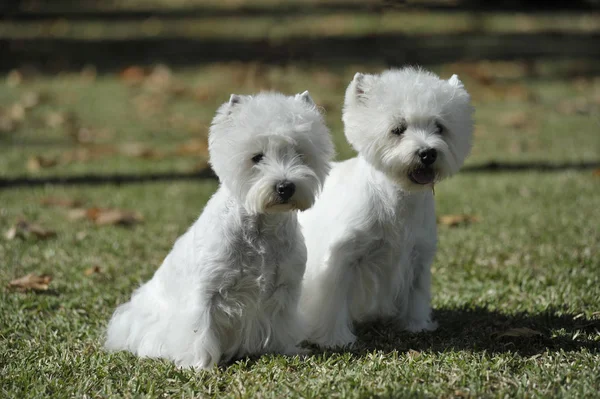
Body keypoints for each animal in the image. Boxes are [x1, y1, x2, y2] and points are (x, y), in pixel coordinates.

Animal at [106, 90, 336, 368]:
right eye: (257, 157)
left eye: (300, 154)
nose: (285, 187)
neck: (262, 229)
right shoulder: (208, 292)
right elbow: (199, 331)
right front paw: (198, 365)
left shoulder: (285, 290)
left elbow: (283, 324)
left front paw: (286, 349)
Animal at [300, 67, 474, 348]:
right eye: (398, 129)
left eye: (440, 127)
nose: (427, 153)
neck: (399, 199)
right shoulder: (341, 259)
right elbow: (332, 302)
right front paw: (335, 339)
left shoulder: (418, 257)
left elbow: (417, 293)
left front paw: (416, 326)